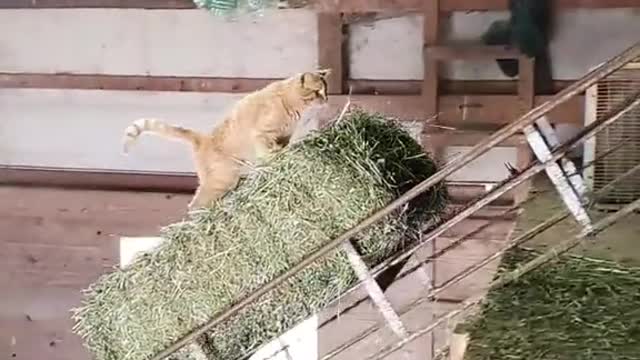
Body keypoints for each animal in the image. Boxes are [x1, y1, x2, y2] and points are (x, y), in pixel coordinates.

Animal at [123, 69, 332, 210]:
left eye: (326, 91)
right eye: (317, 92)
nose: (326, 100)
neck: (289, 102)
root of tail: (203, 138)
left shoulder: (283, 138)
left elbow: (280, 149)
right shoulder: (261, 135)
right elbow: (268, 152)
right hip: (223, 180)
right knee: (195, 205)